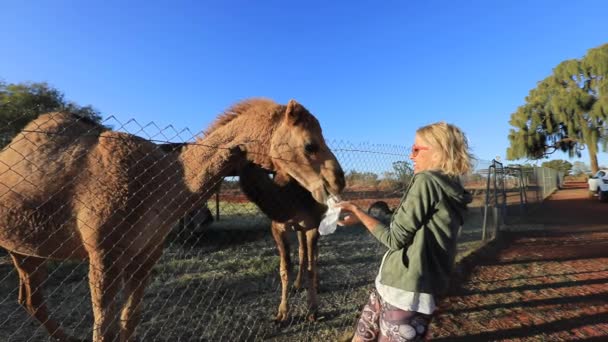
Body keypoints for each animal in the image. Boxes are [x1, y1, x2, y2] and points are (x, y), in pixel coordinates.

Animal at [0, 97, 342, 340]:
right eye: (310, 144)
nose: (337, 181)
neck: (165, 181)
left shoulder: (147, 252)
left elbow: (129, 320)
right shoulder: (103, 253)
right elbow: (104, 330)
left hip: (26, 249)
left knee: (30, 299)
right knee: (33, 299)